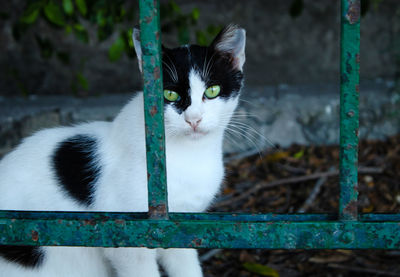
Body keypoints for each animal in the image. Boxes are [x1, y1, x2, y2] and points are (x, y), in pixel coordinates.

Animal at [0, 24, 247, 276]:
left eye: (212, 90)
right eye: (170, 94)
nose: (193, 119)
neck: (191, 156)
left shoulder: (179, 230)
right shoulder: (129, 239)